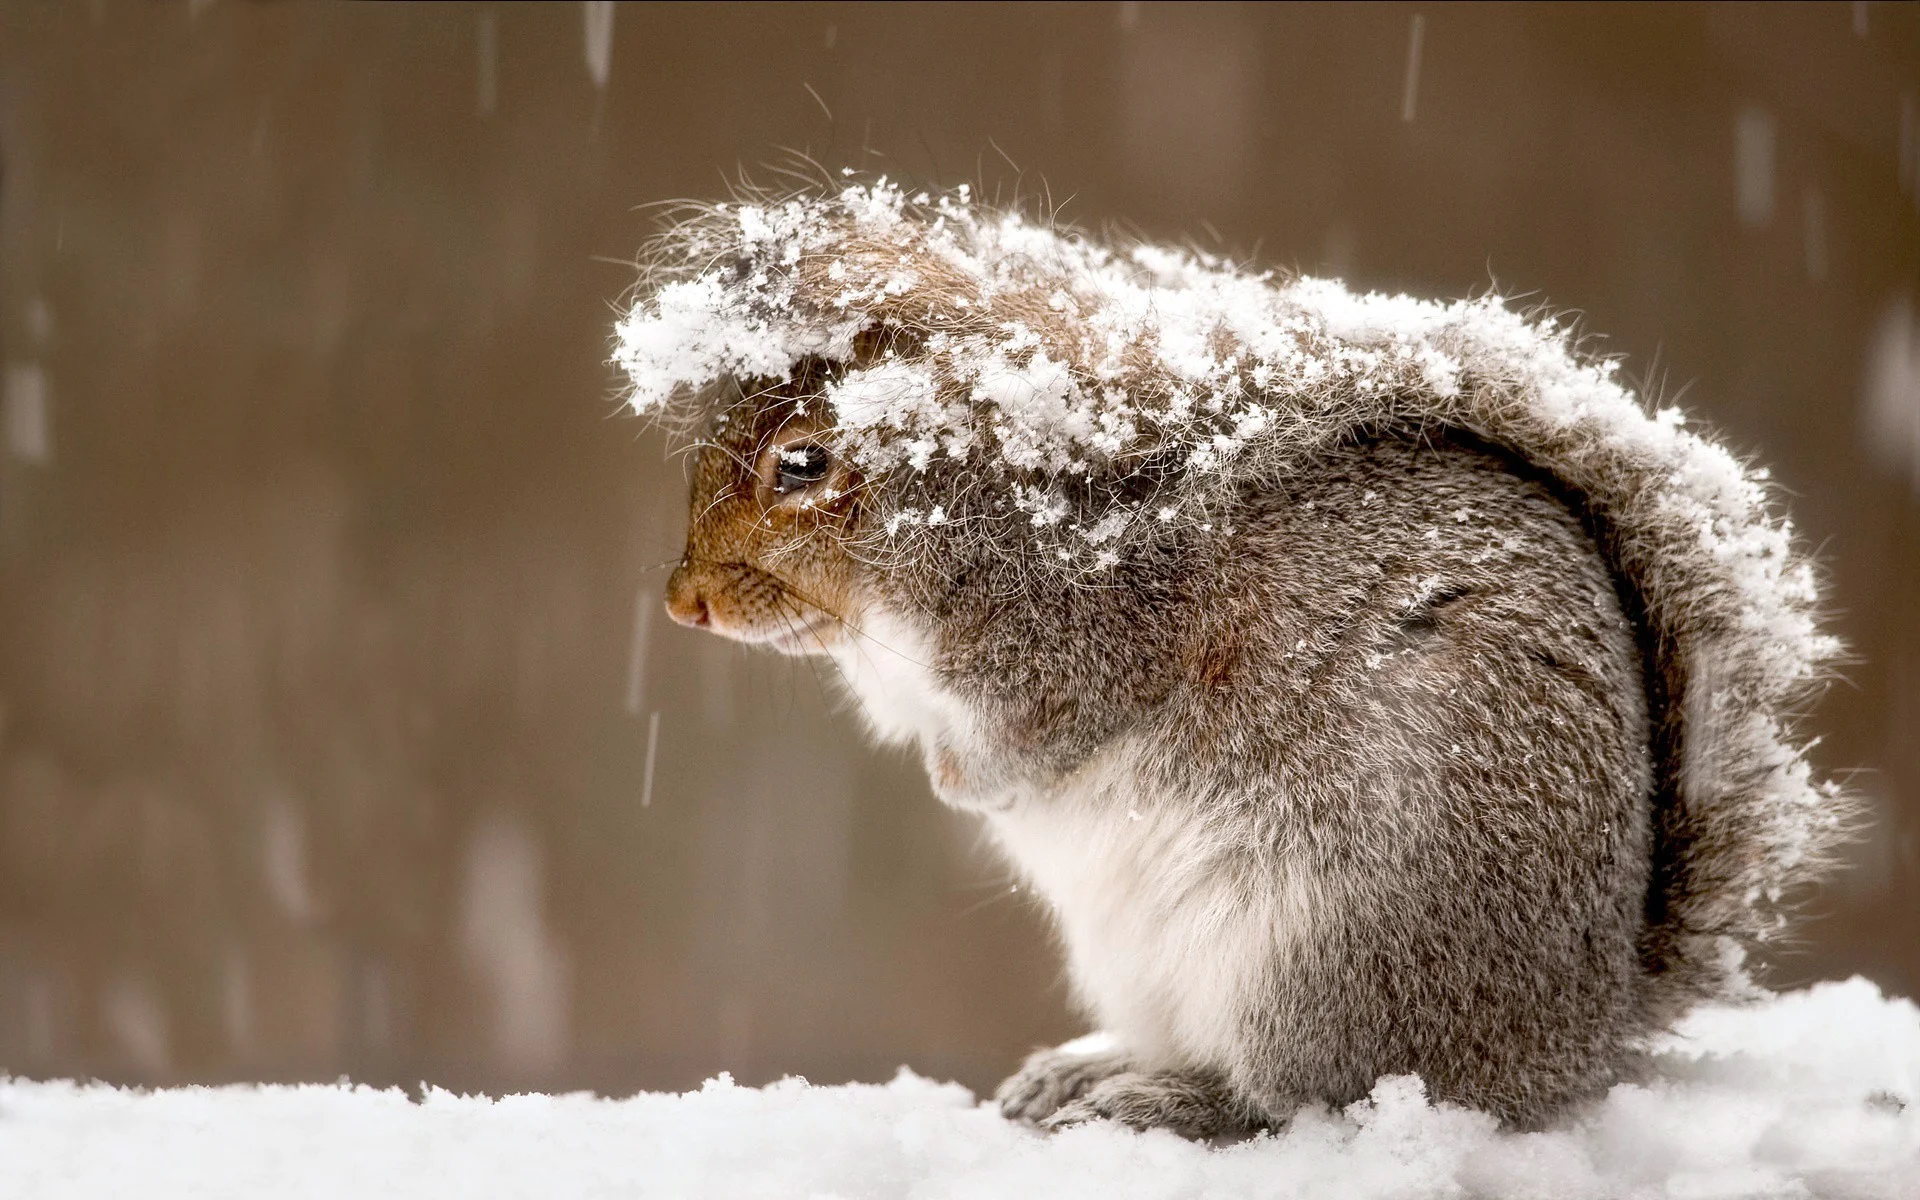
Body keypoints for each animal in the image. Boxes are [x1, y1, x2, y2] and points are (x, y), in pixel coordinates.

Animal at [618, 179, 1852, 1134]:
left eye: (803, 463)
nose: (682, 603)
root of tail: (1573, 1040)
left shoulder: (1086, 640)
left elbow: (1040, 737)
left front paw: (968, 783)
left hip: (1323, 950)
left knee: (1298, 1096)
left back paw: (1168, 1101)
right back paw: (1095, 1068)